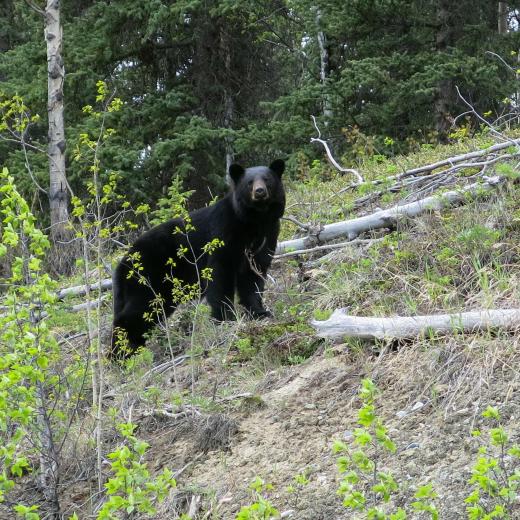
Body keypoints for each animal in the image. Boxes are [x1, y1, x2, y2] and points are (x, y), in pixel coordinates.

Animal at [111, 159, 286, 358]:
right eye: (249, 182)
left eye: (267, 179)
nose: (260, 191)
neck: (253, 221)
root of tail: (122, 263)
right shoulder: (223, 232)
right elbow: (220, 276)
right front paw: (225, 318)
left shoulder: (267, 237)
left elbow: (253, 278)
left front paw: (259, 312)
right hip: (148, 276)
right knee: (135, 311)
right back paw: (121, 354)